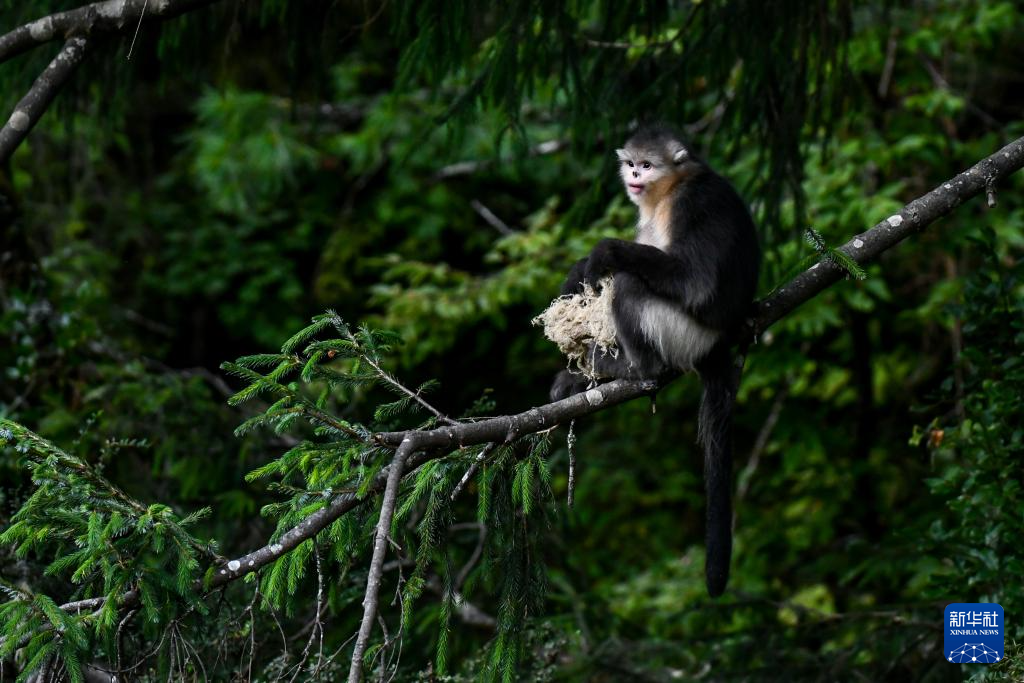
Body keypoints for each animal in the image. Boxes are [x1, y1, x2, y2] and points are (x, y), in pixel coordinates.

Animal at [550, 122, 760, 597]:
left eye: (647, 165)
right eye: (631, 163)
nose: (634, 176)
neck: (669, 191)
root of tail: (717, 345)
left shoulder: (695, 201)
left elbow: (697, 281)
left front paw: (603, 252)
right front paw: (579, 269)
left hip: (684, 334)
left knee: (631, 285)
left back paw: (633, 369)